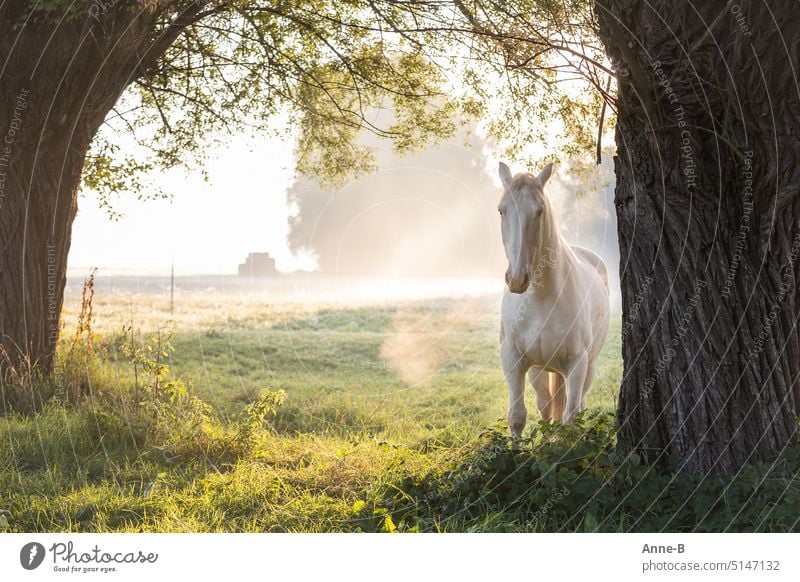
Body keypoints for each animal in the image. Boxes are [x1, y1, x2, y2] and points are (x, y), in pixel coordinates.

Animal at [496, 160, 608, 438]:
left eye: (540, 211)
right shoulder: (513, 359)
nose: (517, 280)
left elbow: (571, 418)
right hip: (538, 370)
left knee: (579, 405)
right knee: (545, 405)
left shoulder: (577, 365)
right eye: (502, 210)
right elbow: (517, 416)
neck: (540, 299)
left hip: (588, 366)